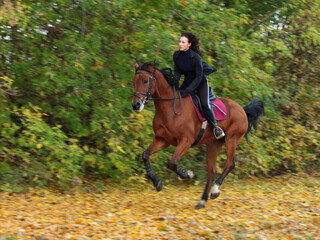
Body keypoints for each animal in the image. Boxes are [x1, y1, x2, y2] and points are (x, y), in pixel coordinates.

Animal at [131, 61, 264, 208]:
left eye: (145, 80)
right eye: (133, 81)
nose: (136, 105)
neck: (170, 108)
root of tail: (242, 110)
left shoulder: (186, 141)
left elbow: (172, 163)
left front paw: (189, 174)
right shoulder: (162, 140)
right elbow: (145, 155)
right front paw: (157, 183)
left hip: (232, 139)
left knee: (229, 164)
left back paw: (215, 190)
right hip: (213, 144)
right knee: (212, 171)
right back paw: (202, 200)